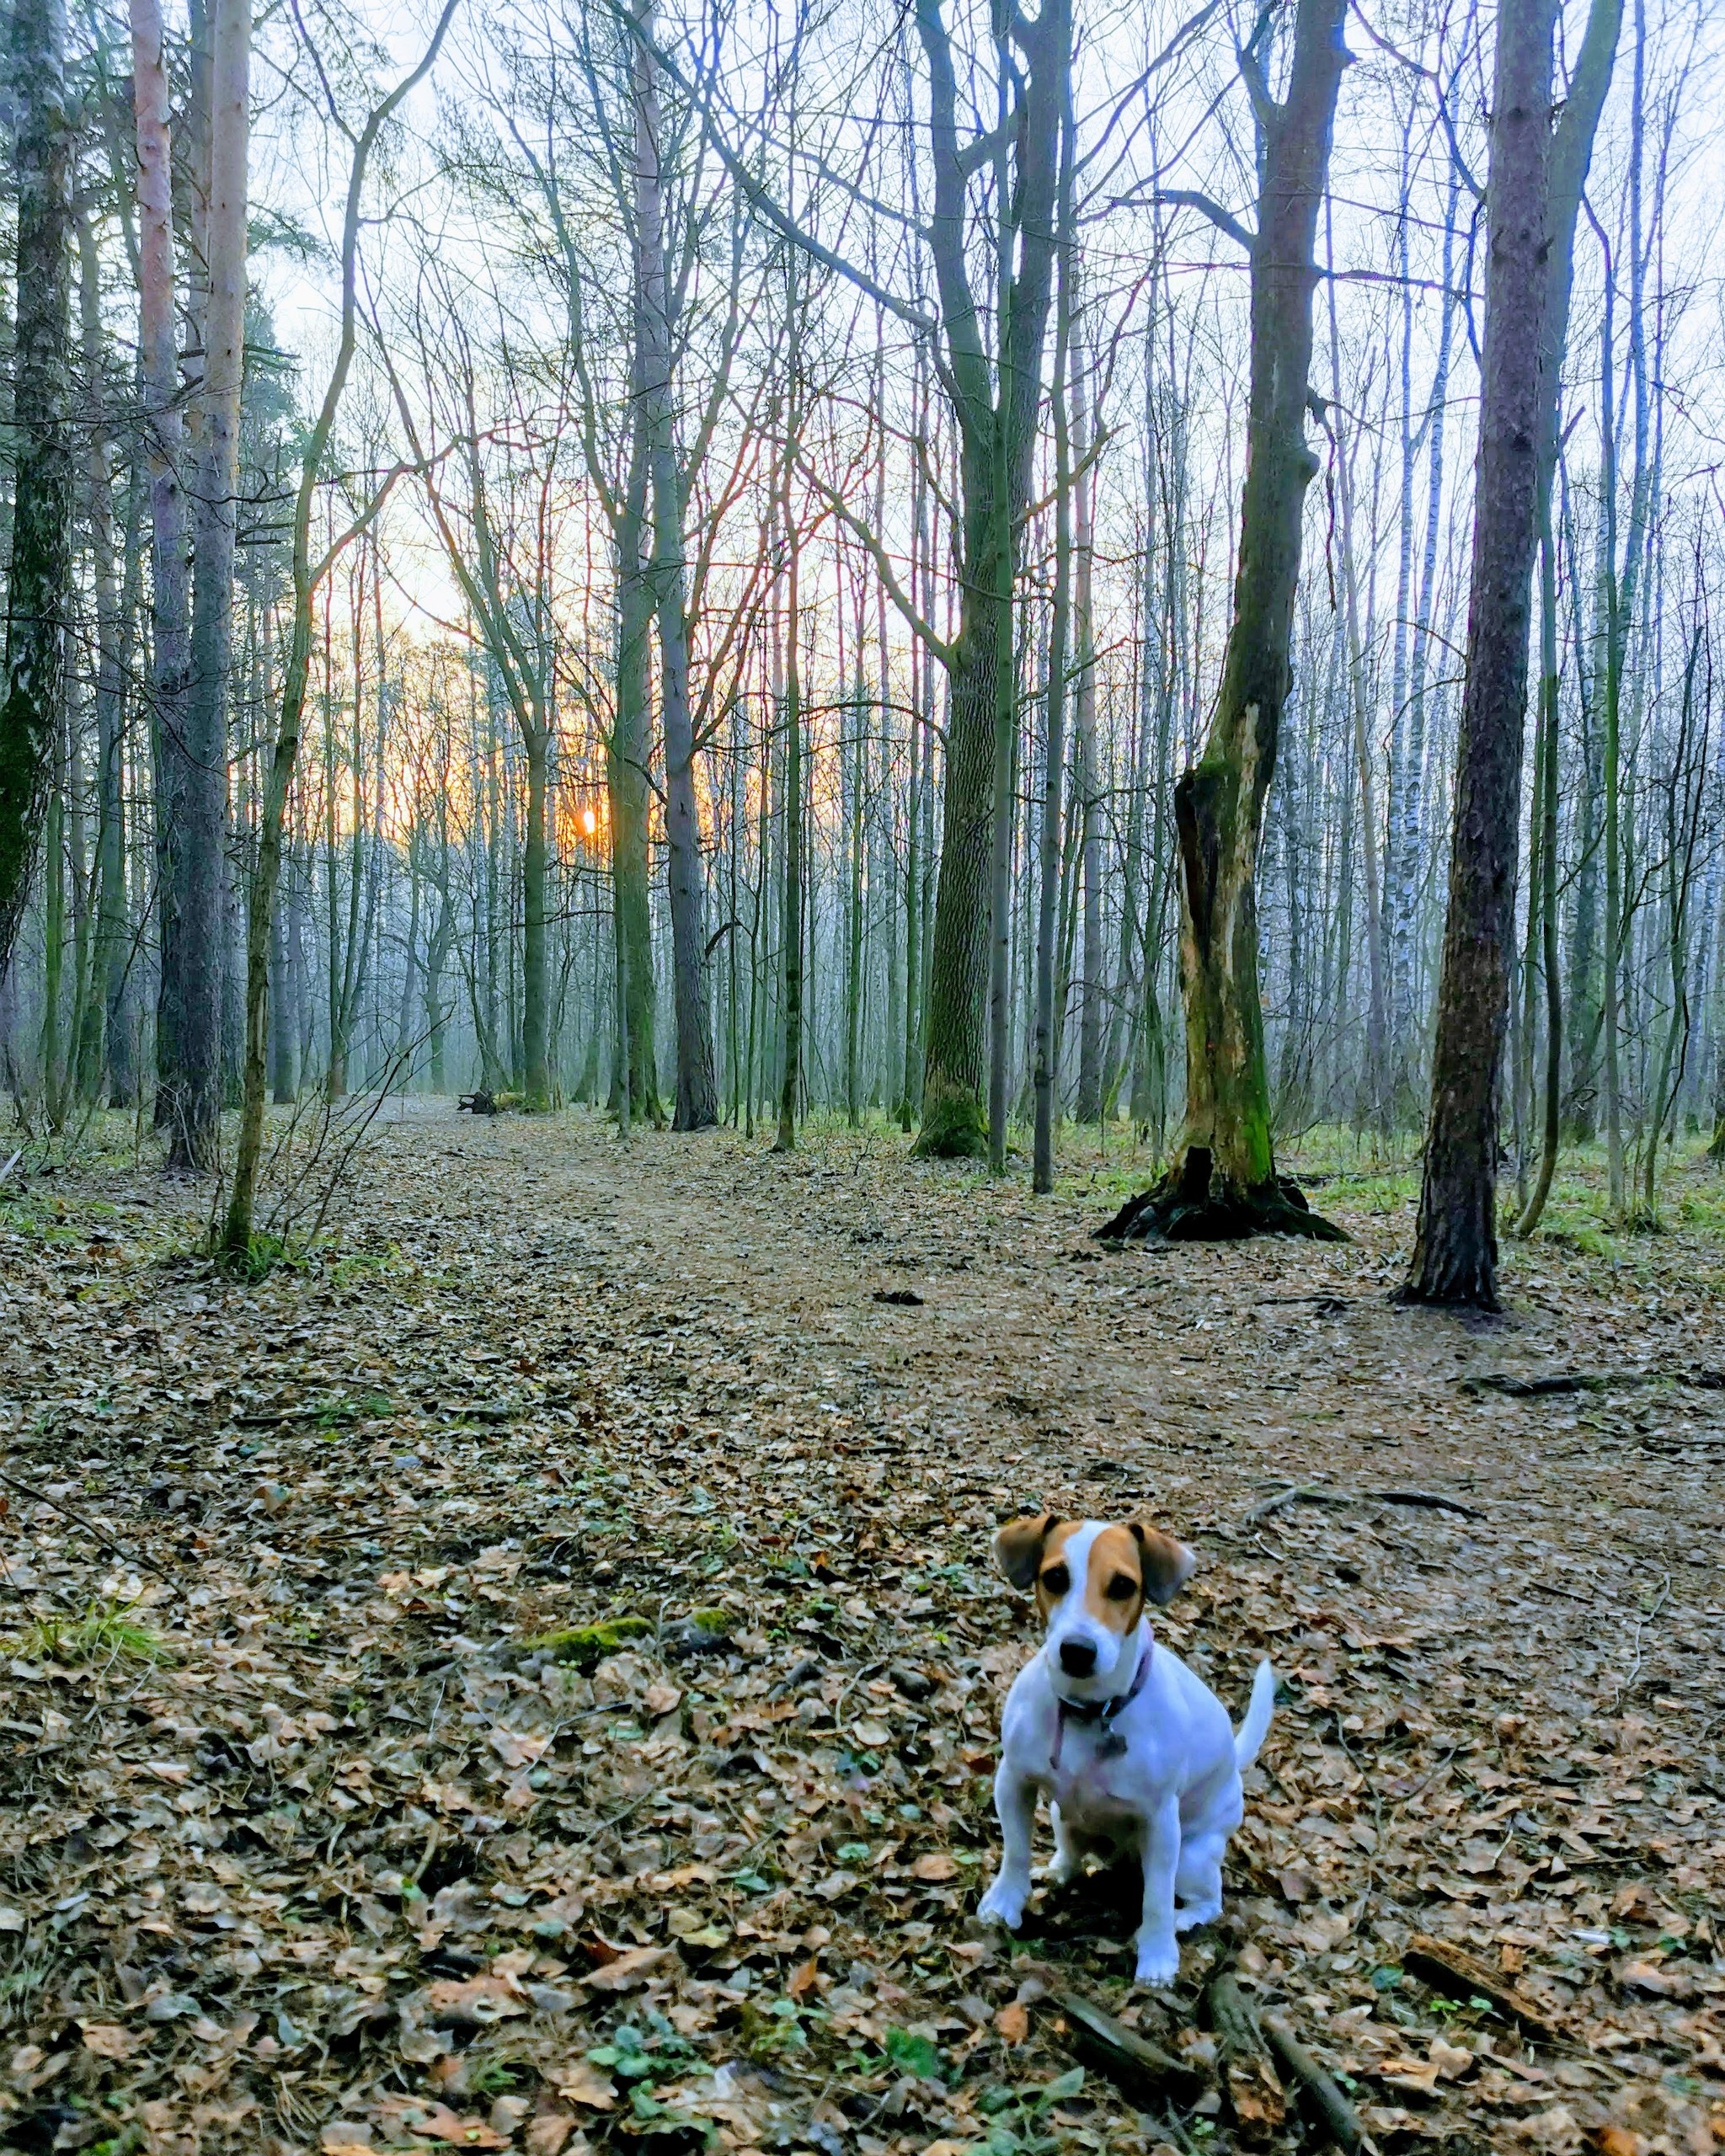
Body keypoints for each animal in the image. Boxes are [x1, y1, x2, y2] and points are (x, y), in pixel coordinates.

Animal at [979, 1509, 1276, 1974]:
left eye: (1122, 1585)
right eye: (1055, 1577)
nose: (1077, 1650)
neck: (1089, 1711)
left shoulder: (1161, 1824)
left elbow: (1155, 1899)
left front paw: (1156, 1955)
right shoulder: (1014, 1780)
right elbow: (1015, 1851)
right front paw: (1006, 1899)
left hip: (1192, 1857)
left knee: (1208, 1900)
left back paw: (1185, 1919)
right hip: (1062, 1814)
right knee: (1071, 1853)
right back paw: (1060, 1869)